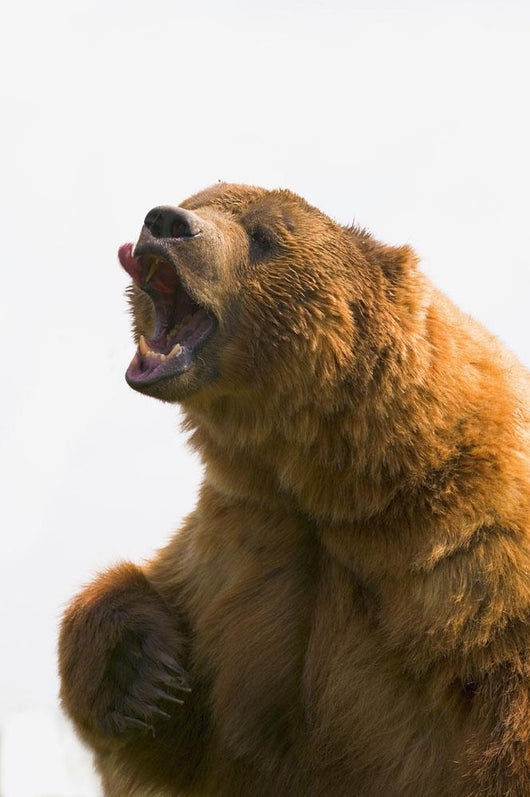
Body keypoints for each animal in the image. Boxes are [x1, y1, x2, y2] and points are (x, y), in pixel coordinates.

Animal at [59, 183, 530, 796]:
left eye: (264, 237)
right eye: (198, 198)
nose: (165, 221)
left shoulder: (470, 565)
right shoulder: (248, 541)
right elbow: (195, 741)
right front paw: (140, 668)